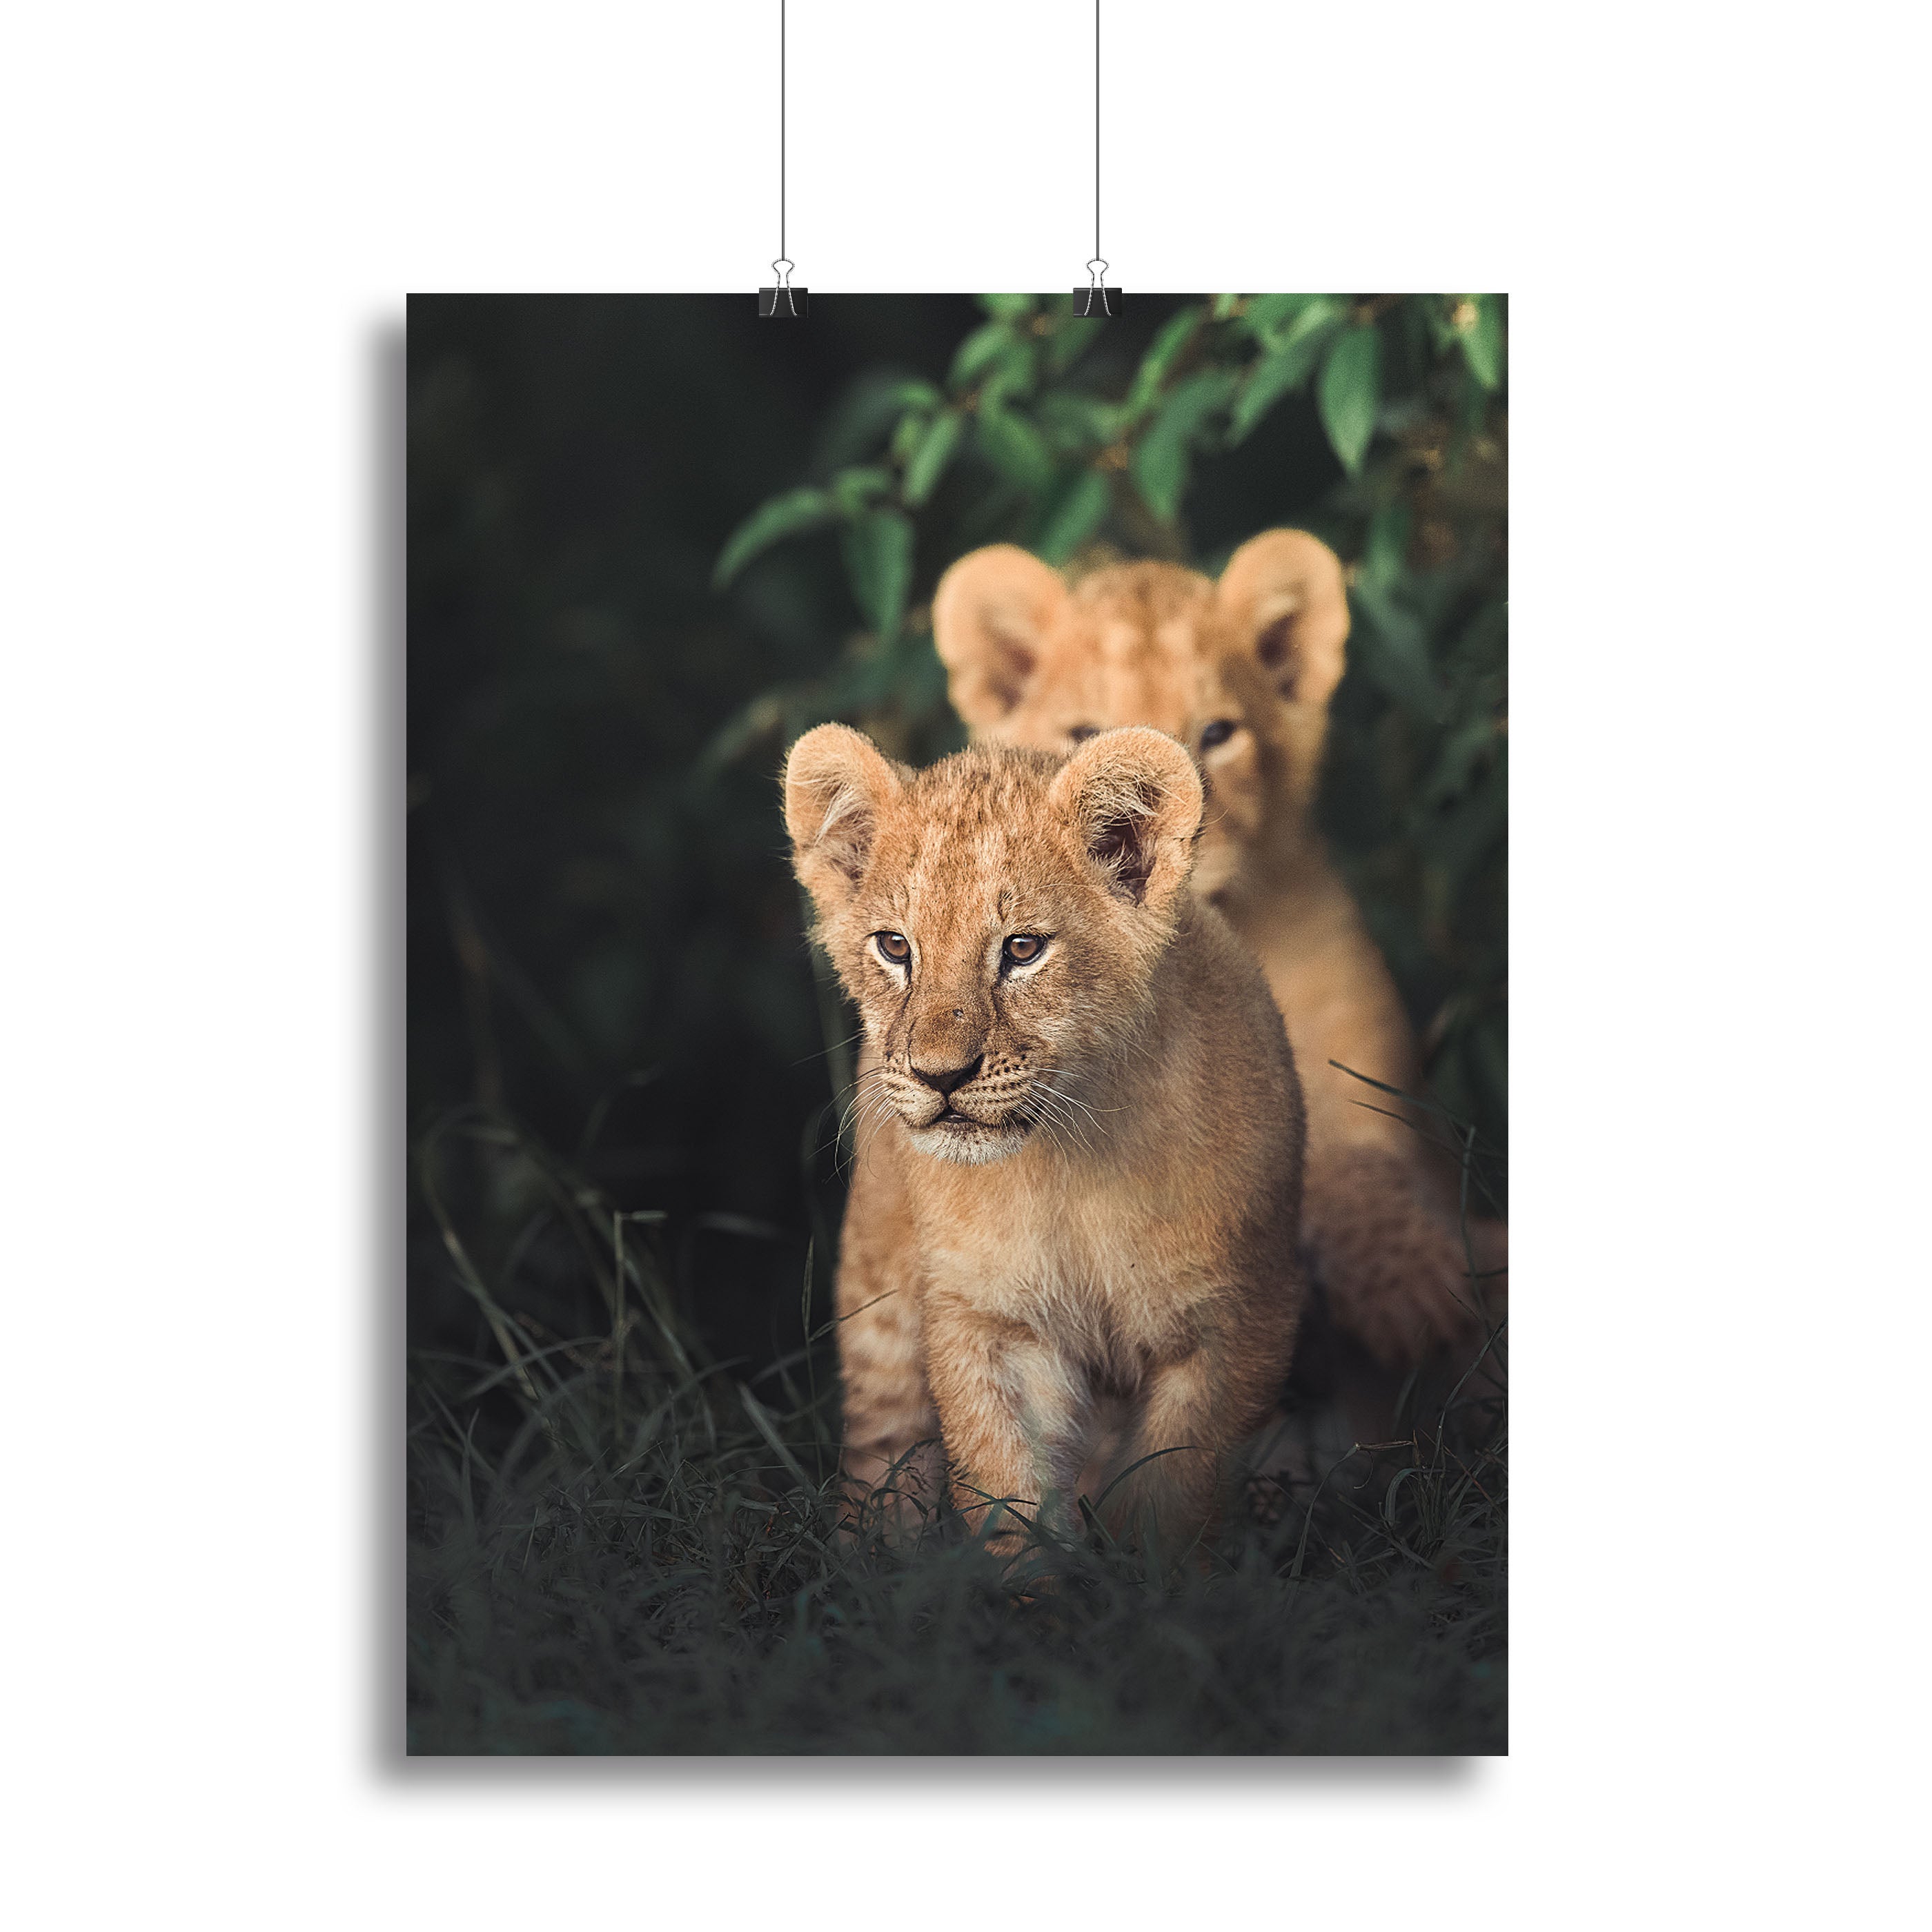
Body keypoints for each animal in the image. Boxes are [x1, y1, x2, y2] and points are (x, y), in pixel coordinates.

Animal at [784, 722, 1306, 1556]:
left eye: (1023, 949)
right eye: (895, 947)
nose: (938, 1076)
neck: (1072, 1162)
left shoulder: (1237, 1322)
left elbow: (1172, 1495)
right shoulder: (990, 1322)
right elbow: (1008, 1498)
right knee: (882, 1457)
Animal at [931, 532, 1505, 1407]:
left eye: (1218, 732)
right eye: (1083, 733)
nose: (1151, 830)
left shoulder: (1351, 1062)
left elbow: (1355, 1160)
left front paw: (1413, 1288)